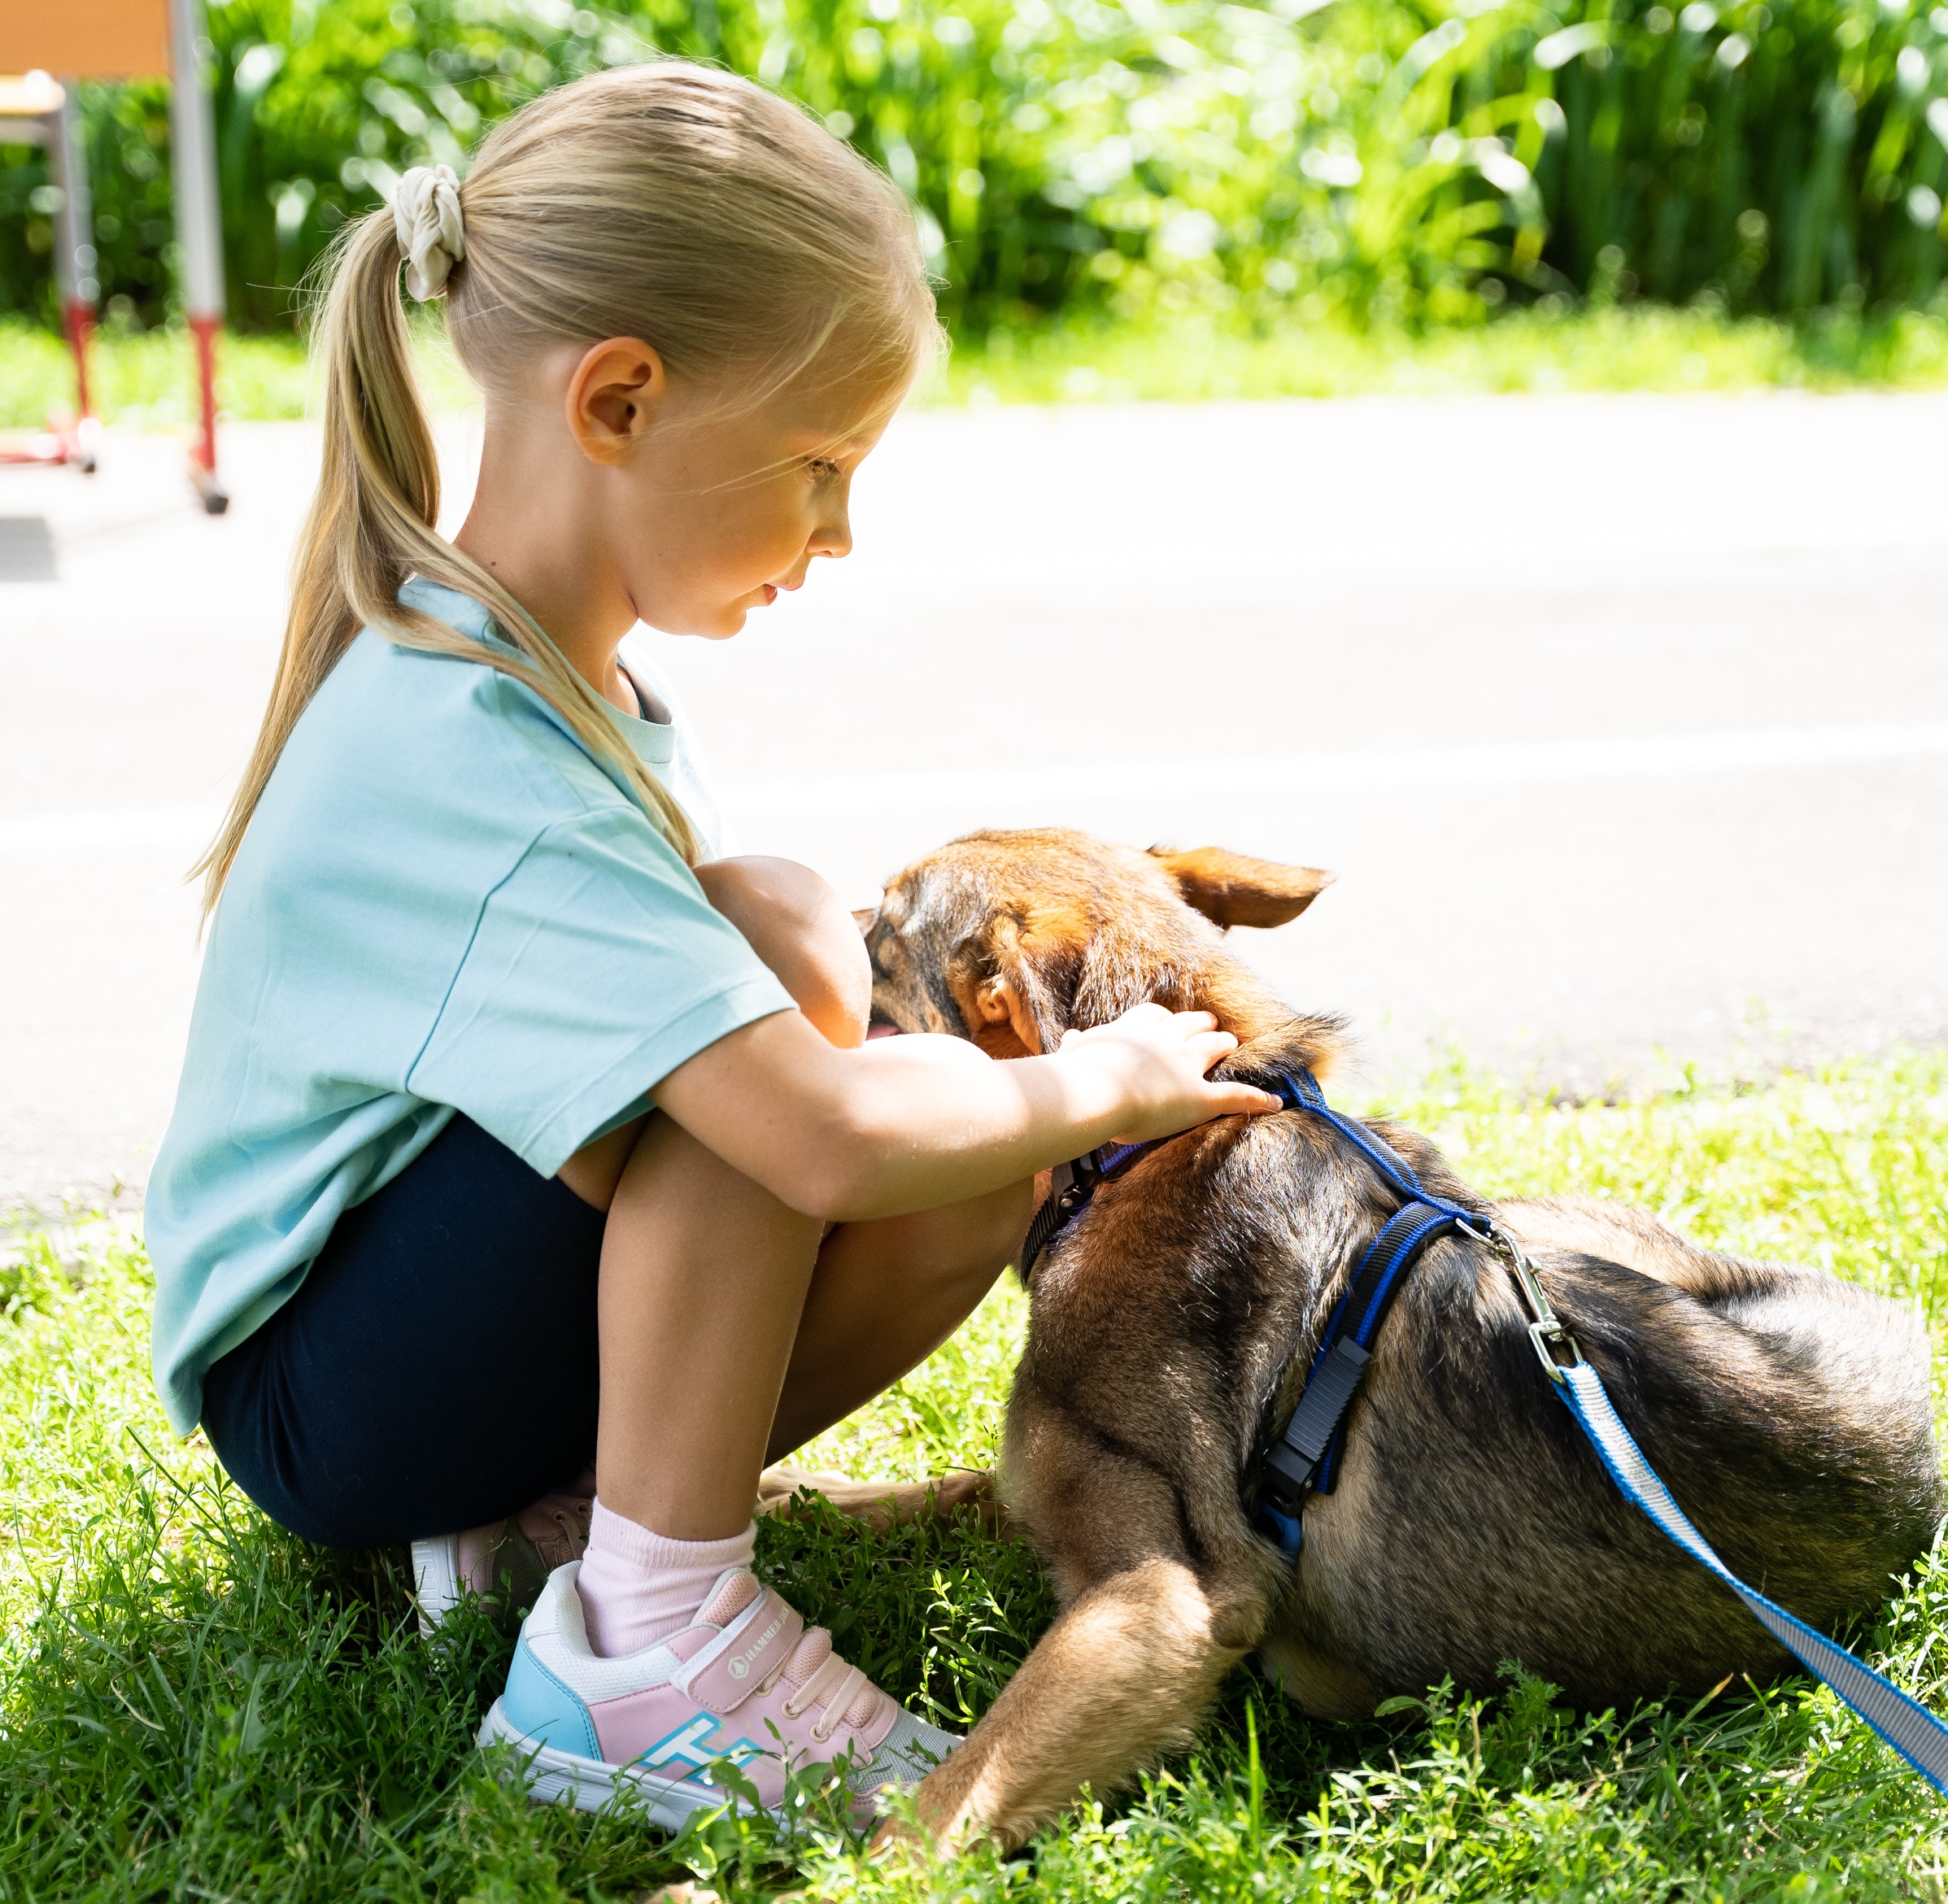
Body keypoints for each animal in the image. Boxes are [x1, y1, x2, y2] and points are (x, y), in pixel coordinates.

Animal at [861, 830, 1940, 1839]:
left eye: (881, 939)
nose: (834, 925)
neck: (1152, 1144)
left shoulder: (1157, 1598)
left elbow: (937, 1815)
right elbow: (945, 1489)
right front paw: (828, 1499)